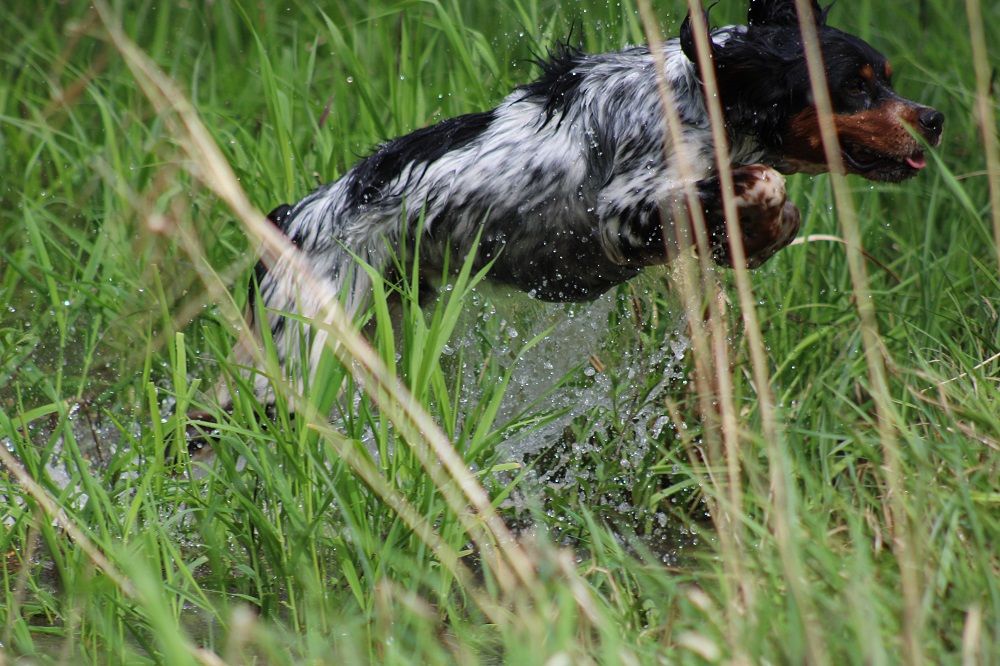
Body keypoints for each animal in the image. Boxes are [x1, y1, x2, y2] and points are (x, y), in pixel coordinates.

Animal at [221, 0, 944, 402]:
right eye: (857, 86)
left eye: (887, 78)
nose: (934, 119)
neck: (701, 94)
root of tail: (290, 222)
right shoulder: (621, 212)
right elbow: (763, 179)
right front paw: (759, 219)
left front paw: (760, 232)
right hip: (298, 349)